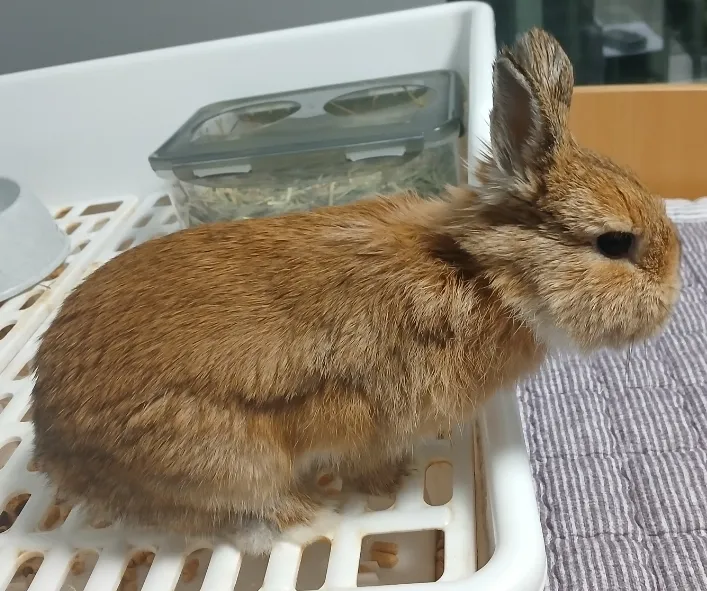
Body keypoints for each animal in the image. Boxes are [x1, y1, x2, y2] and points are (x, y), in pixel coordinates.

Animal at [30, 28, 681, 555]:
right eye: (615, 243)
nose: (672, 299)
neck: (482, 275)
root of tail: (51, 444)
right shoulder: (374, 421)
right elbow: (366, 460)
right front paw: (389, 483)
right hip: (224, 461)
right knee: (237, 514)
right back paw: (308, 522)